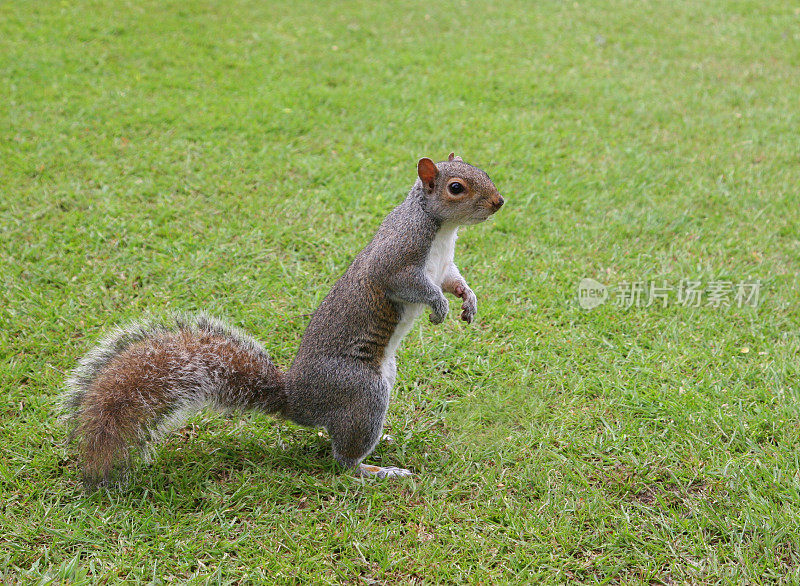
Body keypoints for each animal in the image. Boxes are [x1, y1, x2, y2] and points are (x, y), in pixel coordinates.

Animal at [62, 152, 504, 484]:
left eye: (483, 171)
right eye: (456, 187)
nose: (499, 202)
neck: (441, 227)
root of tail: (298, 400)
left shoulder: (444, 266)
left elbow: (454, 281)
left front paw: (468, 301)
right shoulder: (397, 260)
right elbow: (411, 285)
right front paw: (439, 307)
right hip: (363, 390)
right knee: (343, 461)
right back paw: (377, 470)